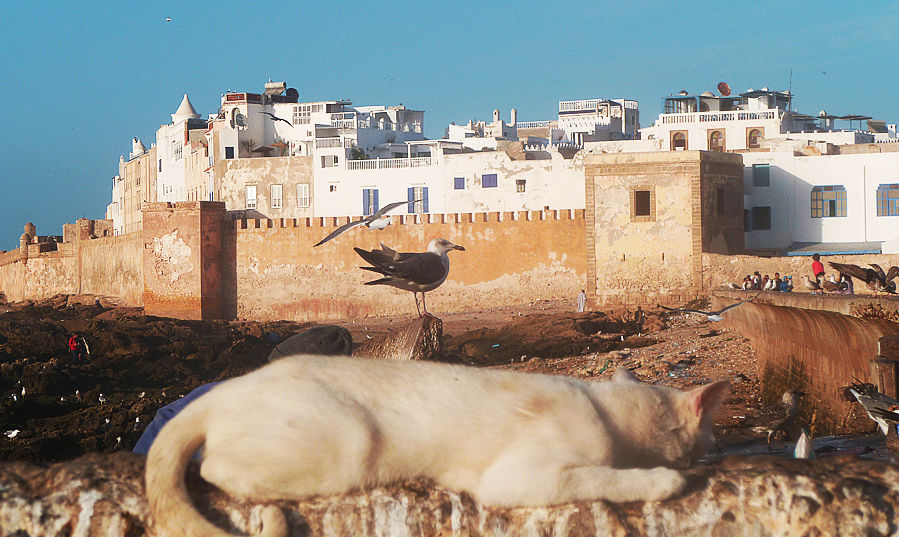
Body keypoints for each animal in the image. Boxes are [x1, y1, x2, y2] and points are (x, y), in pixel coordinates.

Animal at [144, 354, 728, 532]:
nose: (707, 456)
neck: (606, 405)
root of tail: (227, 386)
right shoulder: (518, 479)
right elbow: (609, 477)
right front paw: (667, 480)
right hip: (352, 442)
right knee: (213, 469)